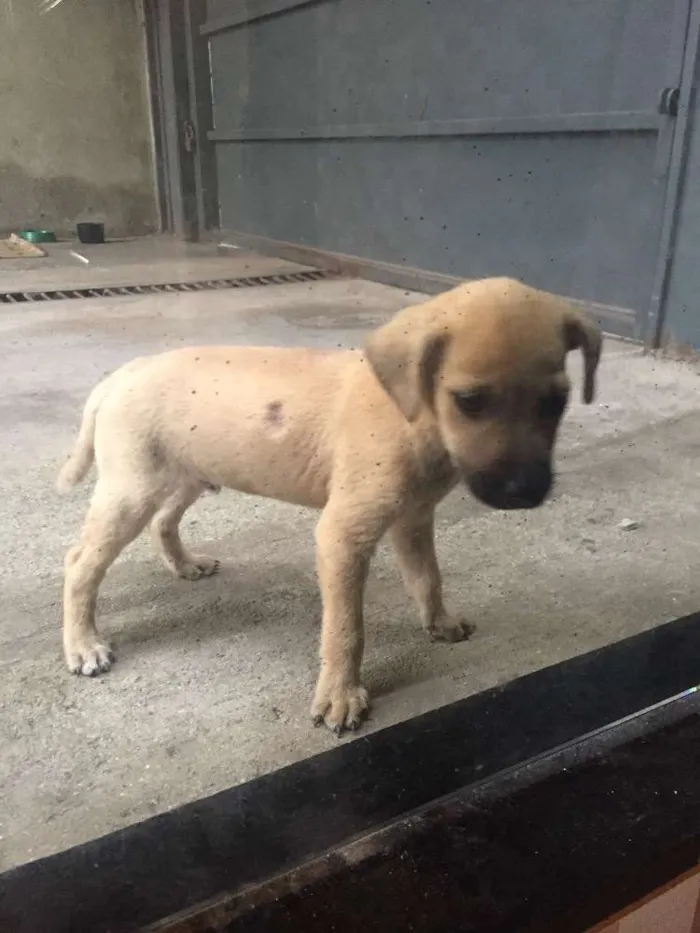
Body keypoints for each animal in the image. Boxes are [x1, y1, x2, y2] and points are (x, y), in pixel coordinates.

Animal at [57, 276, 600, 736]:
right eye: (470, 401)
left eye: (556, 403)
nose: (524, 493)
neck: (412, 414)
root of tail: (121, 374)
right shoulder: (343, 536)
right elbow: (346, 628)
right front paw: (341, 695)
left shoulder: (413, 518)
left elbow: (428, 578)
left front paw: (439, 622)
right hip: (132, 489)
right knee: (81, 563)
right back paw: (83, 644)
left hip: (188, 474)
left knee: (163, 522)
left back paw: (185, 564)